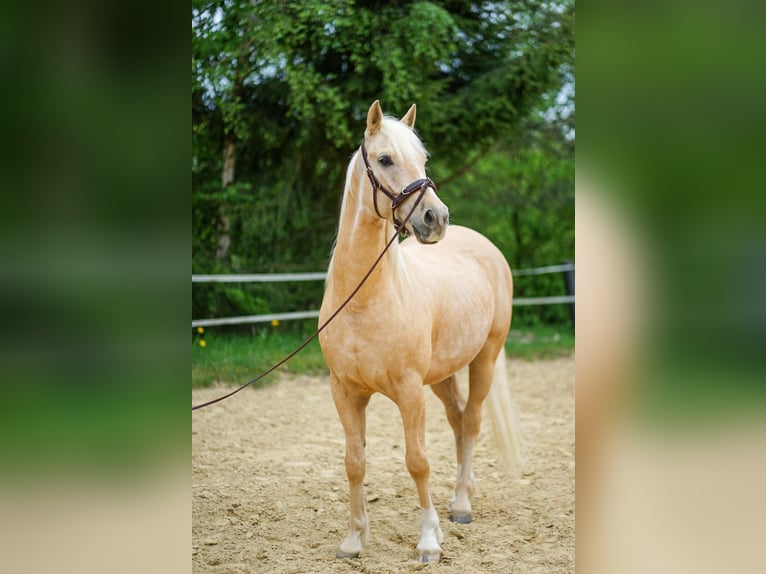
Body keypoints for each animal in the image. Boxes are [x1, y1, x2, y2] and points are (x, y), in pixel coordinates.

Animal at [318, 100, 524, 563]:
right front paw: (354, 538)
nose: (437, 218)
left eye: (423, 159)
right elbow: (354, 462)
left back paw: (461, 505)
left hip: (484, 360)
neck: (364, 302)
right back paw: (465, 489)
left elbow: (417, 461)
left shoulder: (409, 392)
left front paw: (429, 540)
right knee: (459, 420)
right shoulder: (344, 392)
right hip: (443, 375)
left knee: (473, 421)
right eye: (384, 159)